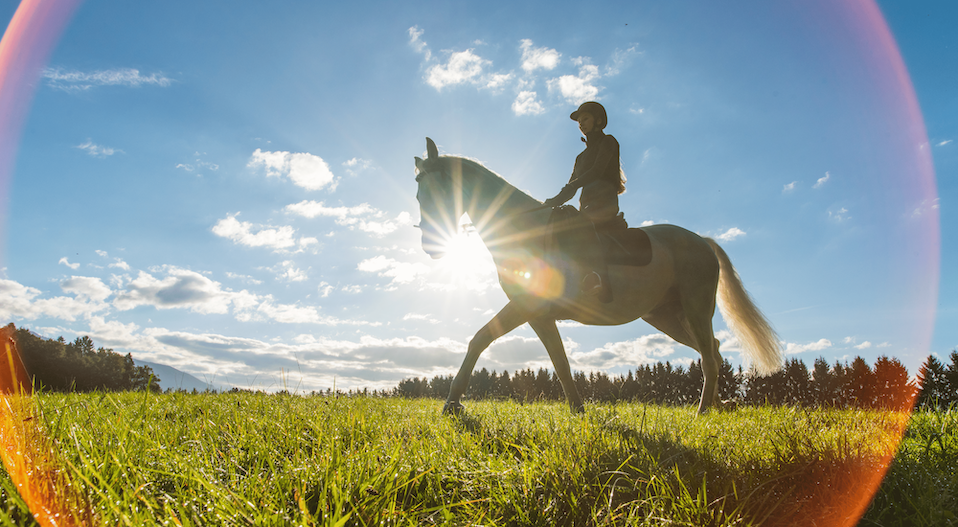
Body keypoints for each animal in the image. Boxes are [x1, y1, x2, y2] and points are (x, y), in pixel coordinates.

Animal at [414, 138, 783, 414]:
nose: (430, 247)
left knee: (709, 358)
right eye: (419, 195)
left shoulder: (525, 308)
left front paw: (451, 404)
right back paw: (717, 408)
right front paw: (578, 410)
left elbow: (479, 339)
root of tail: (701, 241)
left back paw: (703, 411)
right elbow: (559, 363)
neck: (523, 230)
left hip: (695, 308)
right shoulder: (538, 316)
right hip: (667, 316)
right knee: (713, 352)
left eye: (438, 191)